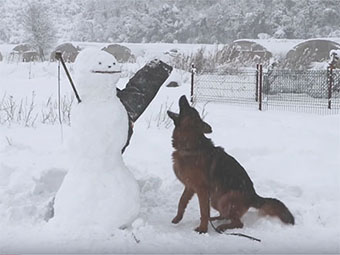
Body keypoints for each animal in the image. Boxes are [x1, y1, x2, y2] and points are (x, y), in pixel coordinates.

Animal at [167, 95, 294, 233]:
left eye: (189, 109)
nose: (184, 96)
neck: (189, 146)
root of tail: (253, 196)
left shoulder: (202, 190)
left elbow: (204, 211)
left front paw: (203, 229)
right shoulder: (190, 187)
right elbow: (182, 201)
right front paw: (177, 218)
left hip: (223, 199)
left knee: (238, 223)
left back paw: (222, 227)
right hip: (215, 199)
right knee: (225, 215)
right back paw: (215, 219)